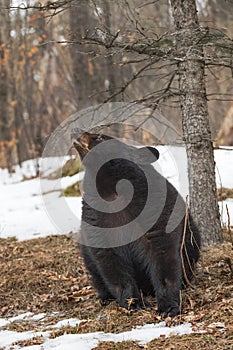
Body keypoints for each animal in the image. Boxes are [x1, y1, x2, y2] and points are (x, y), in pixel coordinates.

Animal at [74, 132, 200, 318]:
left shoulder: (153, 210)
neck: (112, 189)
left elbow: (162, 254)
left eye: (100, 137)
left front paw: (168, 307)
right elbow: (111, 263)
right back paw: (105, 298)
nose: (77, 132)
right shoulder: (97, 221)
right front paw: (134, 303)